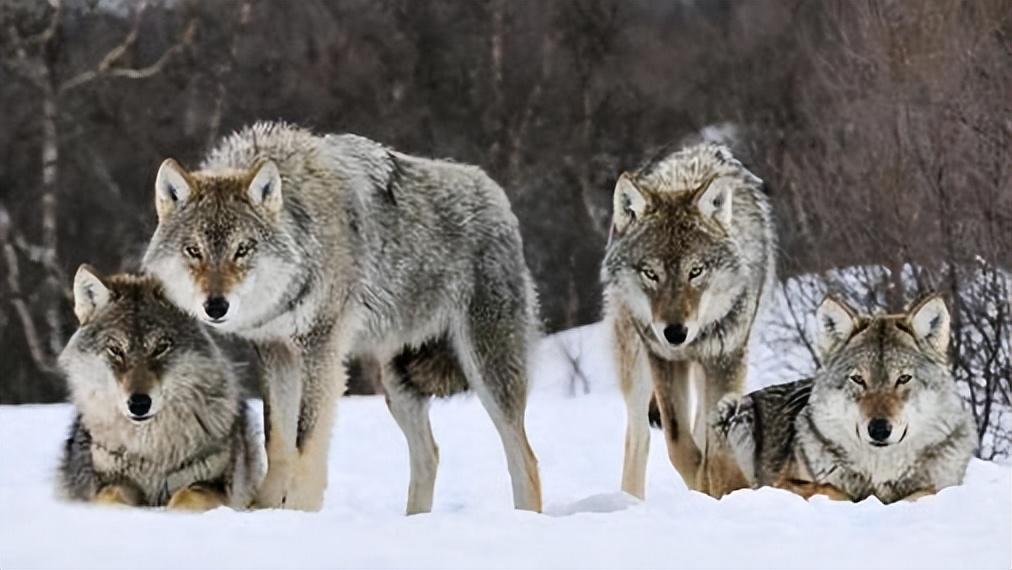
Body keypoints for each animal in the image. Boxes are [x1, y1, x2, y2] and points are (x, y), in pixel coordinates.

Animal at [140, 120, 546, 512]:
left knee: (525, 459)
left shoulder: (320, 349)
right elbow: (278, 440)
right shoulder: (275, 351)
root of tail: (497, 195)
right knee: (430, 455)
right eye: (194, 250)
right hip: (396, 384)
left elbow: (305, 442)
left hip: (486, 370)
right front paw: (266, 509)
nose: (215, 306)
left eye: (243, 249)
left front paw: (299, 512)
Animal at [599, 143, 773, 500]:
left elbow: (715, 450)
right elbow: (679, 445)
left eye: (696, 271)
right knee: (639, 437)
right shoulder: (664, 359)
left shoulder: (726, 359)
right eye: (651, 273)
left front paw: (720, 488)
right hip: (635, 363)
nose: (675, 333)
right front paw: (702, 485)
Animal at [716, 293, 975, 504]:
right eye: (858, 379)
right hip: (735, 410)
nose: (879, 429)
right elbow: (830, 489)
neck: (879, 473)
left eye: (903, 378)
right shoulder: (784, 483)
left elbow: (925, 492)